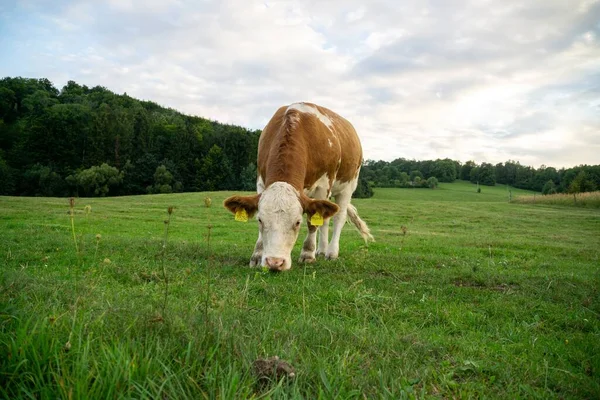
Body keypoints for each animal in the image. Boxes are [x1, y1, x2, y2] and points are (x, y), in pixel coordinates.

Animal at [224, 102, 372, 272]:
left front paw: (307, 254)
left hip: (347, 187)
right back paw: (321, 250)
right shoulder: (261, 182)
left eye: (297, 222)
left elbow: (312, 223)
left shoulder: (323, 186)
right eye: (260, 220)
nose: (275, 262)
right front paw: (257, 255)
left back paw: (331, 252)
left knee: (338, 218)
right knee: (325, 220)